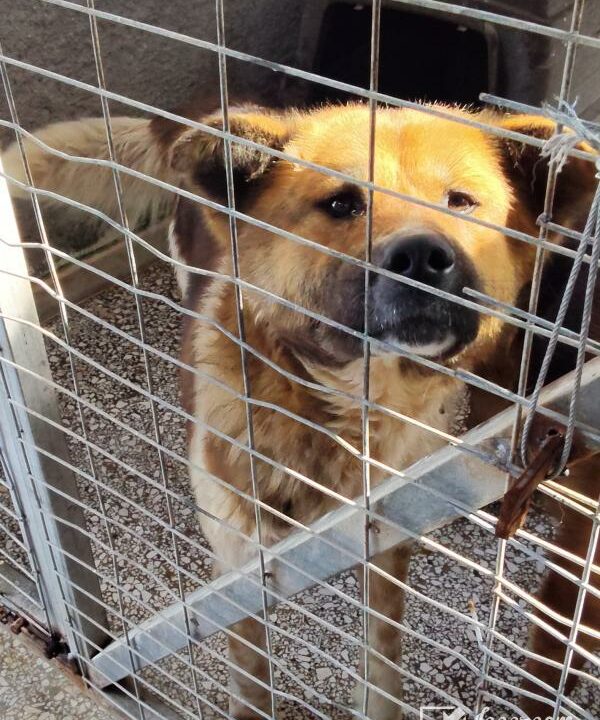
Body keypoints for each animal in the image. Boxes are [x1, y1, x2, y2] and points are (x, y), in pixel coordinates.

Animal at [3, 103, 598, 719]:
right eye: (341, 204)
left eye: (460, 201)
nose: (421, 258)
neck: (345, 414)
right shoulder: (241, 574)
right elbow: (251, 682)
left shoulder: (388, 534)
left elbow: (382, 651)